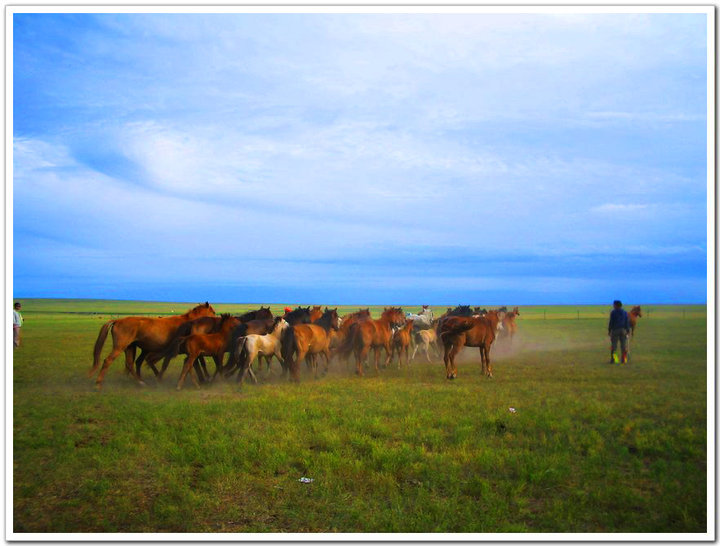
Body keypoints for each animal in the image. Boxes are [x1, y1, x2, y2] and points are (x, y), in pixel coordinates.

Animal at [89, 302, 217, 386]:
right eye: (213, 312)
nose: (218, 320)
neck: (190, 323)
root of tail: (117, 320)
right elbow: (199, 363)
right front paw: (205, 378)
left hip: (130, 347)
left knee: (130, 364)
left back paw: (140, 382)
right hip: (120, 347)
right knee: (108, 361)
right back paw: (98, 383)